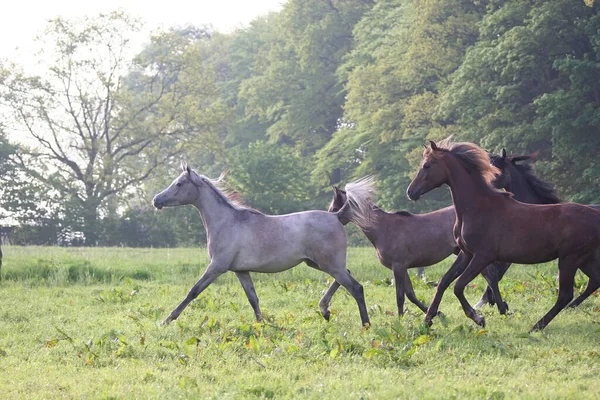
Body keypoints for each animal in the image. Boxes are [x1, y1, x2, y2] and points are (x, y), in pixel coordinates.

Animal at [154, 164, 376, 326]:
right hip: (318, 263)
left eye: (179, 184)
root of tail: (337, 216)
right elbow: (253, 299)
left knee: (356, 287)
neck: (227, 221)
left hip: (330, 264)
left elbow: (193, 291)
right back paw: (325, 310)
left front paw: (166, 320)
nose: (156, 200)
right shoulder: (241, 271)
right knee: (346, 277)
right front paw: (260, 325)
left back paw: (365, 324)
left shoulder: (217, 267)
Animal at [326, 183, 508, 318]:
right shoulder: (403, 267)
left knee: (491, 277)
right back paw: (501, 306)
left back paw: (501, 307)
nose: (332, 218)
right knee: (491, 277)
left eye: (334, 206)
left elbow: (400, 296)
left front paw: (401, 319)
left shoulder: (398, 267)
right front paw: (434, 312)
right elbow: (411, 294)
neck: (383, 228)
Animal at [406, 139, 600, 332]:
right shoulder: (466, 253)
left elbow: (459, 285)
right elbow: (444, 282)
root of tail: (595, 215)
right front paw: (428, 320)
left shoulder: (483, 256)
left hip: (570, 259)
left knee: (565, 295)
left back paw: (536, 326)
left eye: (427, 165)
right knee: (593, 282)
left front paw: (478, 317)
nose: (410, 192)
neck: (477, 207)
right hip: (585, 259)